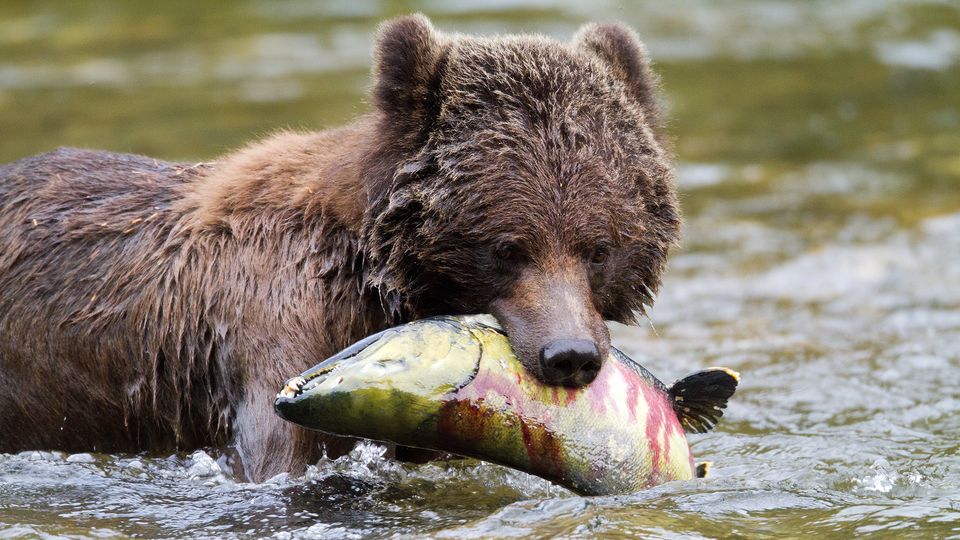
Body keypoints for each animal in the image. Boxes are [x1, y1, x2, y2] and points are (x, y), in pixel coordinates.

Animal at [0, 15, 679, 481]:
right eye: (508, 248)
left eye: (599, 247)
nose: (571, 355)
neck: (373, 272)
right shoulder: (275, 328)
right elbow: (282, 458)